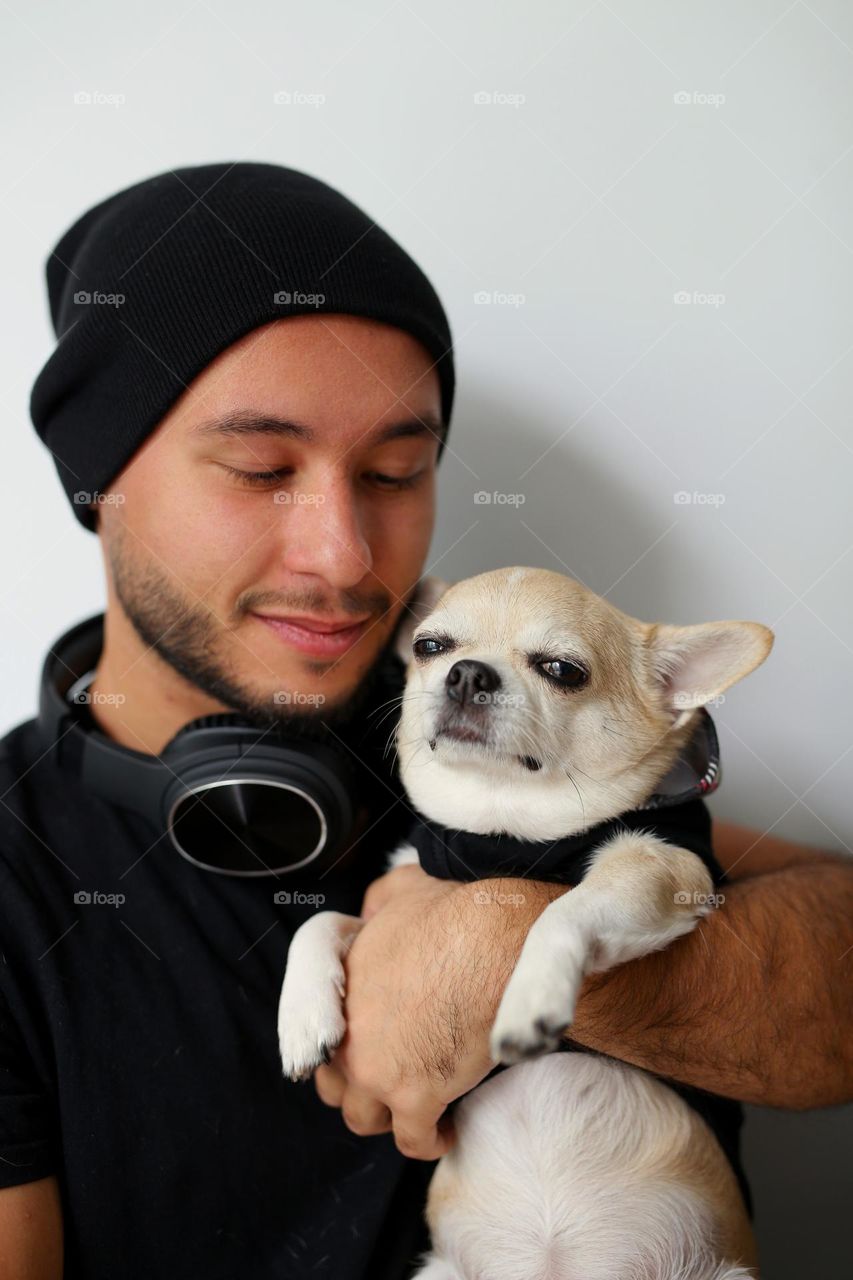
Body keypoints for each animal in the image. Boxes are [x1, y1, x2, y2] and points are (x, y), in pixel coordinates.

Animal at [279, 570, 768, 1280]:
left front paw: (529, 1000)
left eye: (563, 670)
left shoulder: (664, 866)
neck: (500, 834)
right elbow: (321, 919)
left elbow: (563, 911)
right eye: (430, 646)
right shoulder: (394, 894)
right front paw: (303, 1017)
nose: (466, 673)